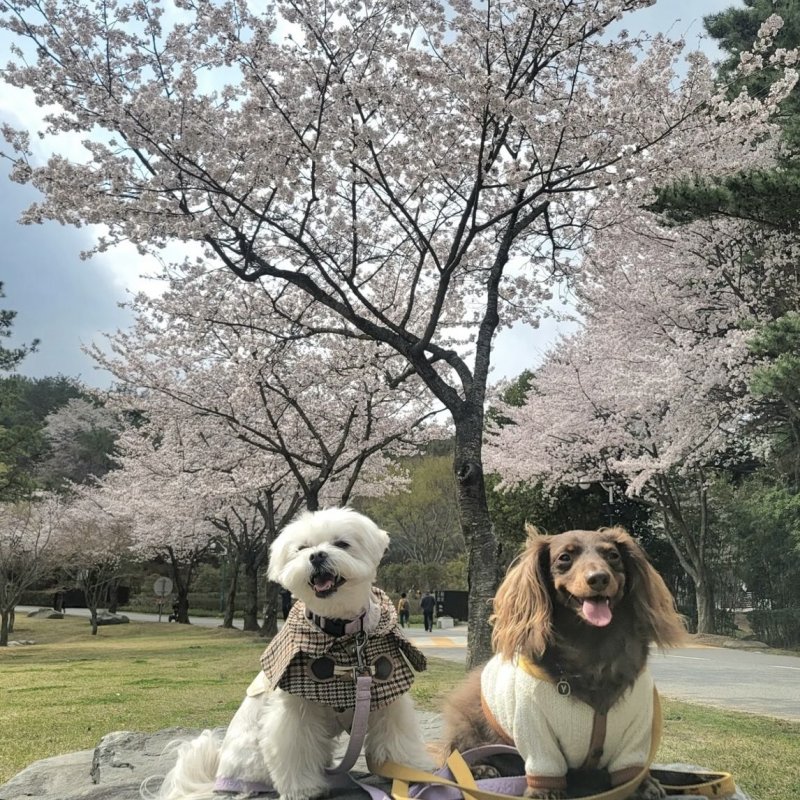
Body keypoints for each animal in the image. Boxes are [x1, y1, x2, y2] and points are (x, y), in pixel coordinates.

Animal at [145, 510, 432, 796]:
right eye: (302, 548)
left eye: (342, 544)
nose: (316, 556)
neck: (342, 633)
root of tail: (216, 778)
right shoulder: (296, 711)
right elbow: (297, 746)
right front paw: (303, 789)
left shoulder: (387, 697)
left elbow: (397, 736)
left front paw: (406, 771)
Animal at [440, 524, 684, 800]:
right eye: (565, 557)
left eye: (612, 556)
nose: (599, 578)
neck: (592, 645)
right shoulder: (534, 725)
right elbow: (545, 767)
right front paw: (543, 792)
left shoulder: (637, 725)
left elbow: (631, 766)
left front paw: (642, 785)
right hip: (468, 724)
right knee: (455, 757)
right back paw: (481, 769)